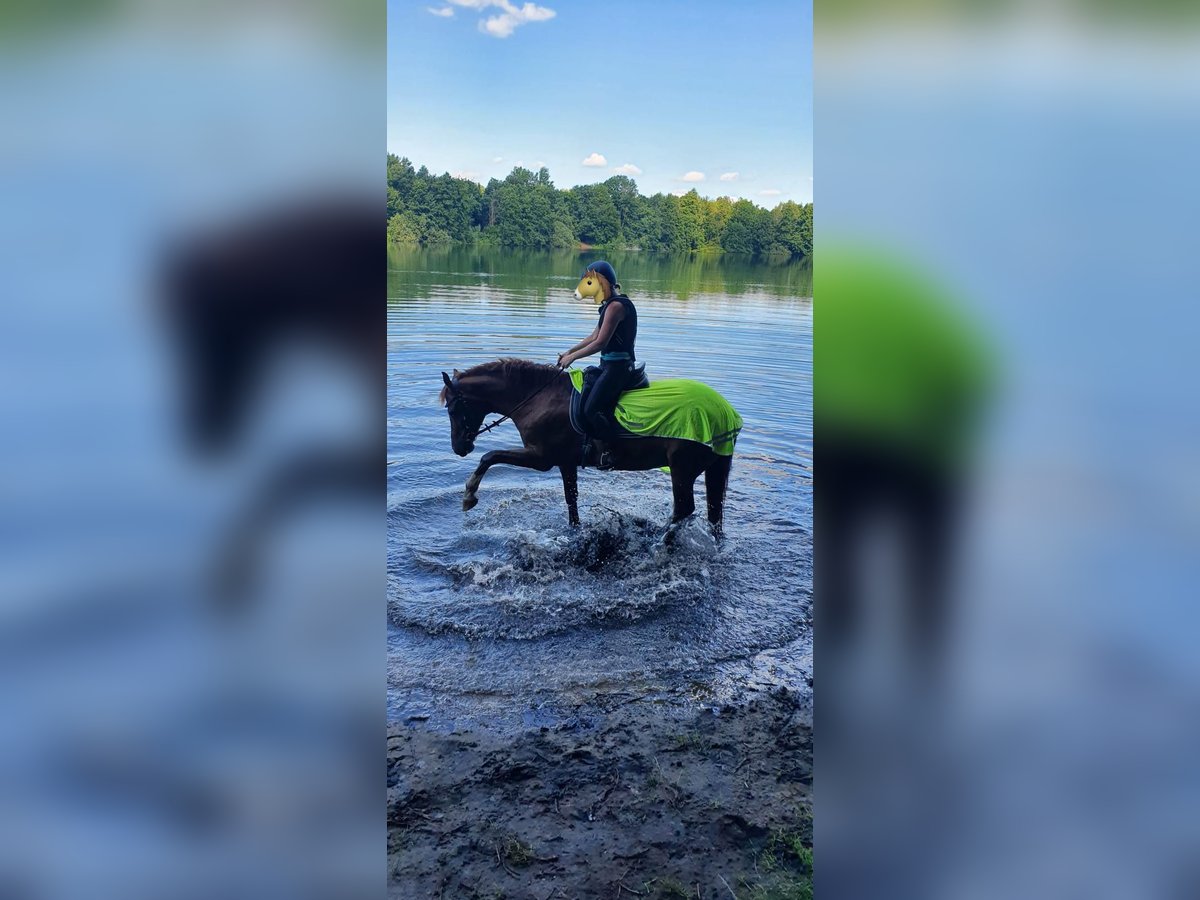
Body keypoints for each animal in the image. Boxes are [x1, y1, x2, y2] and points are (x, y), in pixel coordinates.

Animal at [441, 360, 734, 540]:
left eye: (453, 409)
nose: (459, 447)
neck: (539, 399)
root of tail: (724, 413)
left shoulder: (540, 458)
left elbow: (489, 456)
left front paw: (469, 495)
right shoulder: (565, 462)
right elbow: (571, 499)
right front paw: (574, 530)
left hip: (682, 468)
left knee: (684, 508)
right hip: (711, 469)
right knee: (713, 511)